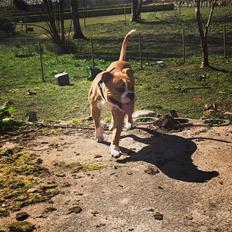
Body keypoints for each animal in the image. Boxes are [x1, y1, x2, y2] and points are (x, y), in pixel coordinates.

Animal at [89, 29, 136, 158]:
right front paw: (99, 136)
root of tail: (121, 60)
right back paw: (112, 125)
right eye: (120, 89)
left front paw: (114, 148)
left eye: (131, 87)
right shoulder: (94, 108)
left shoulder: (120, 112)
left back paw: (129, 123)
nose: (131, 95)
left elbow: (117, 134)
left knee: (128, 114)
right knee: (112, 115)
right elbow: (97, 123)